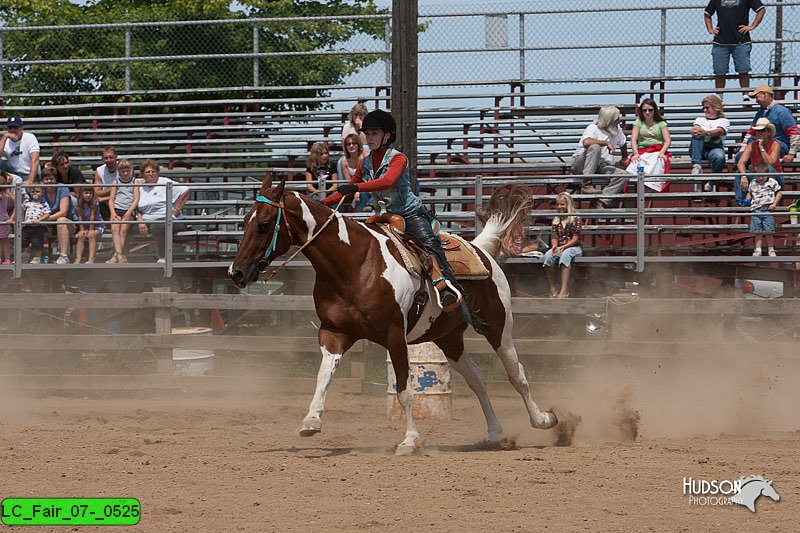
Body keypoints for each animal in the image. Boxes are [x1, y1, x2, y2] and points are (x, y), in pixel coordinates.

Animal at [228, 176, 560, 454]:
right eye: (244, 220)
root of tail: (481, 250)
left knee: (517, 374)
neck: (355, 263)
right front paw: (311, 421)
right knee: (476, 379)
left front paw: (409, 441)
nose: (236, 272)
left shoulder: (394, 335)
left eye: (265, 224)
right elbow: (324, 375)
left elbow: (405, 391)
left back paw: (544, 420)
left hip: (499, 327)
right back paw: (493, 432)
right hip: (449, 337)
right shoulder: (333, 332)